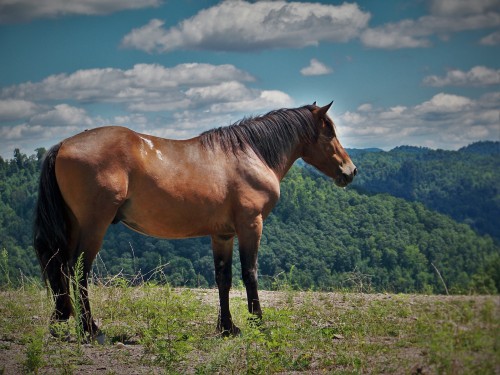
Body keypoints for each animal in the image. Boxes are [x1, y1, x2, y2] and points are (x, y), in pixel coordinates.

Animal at [33, 103, 356, 340]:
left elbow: (223, 278)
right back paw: (91, 329)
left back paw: (63, 322)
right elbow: (250, 273)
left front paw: (228, 328)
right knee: (78, 270)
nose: (350, 171)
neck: (249, 154)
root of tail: (63, 144)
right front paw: (258, 323)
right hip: (94, 226)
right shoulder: (251, 226)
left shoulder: (222, 235)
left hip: (74, 226)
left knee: (61, 268)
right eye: (329, 132)